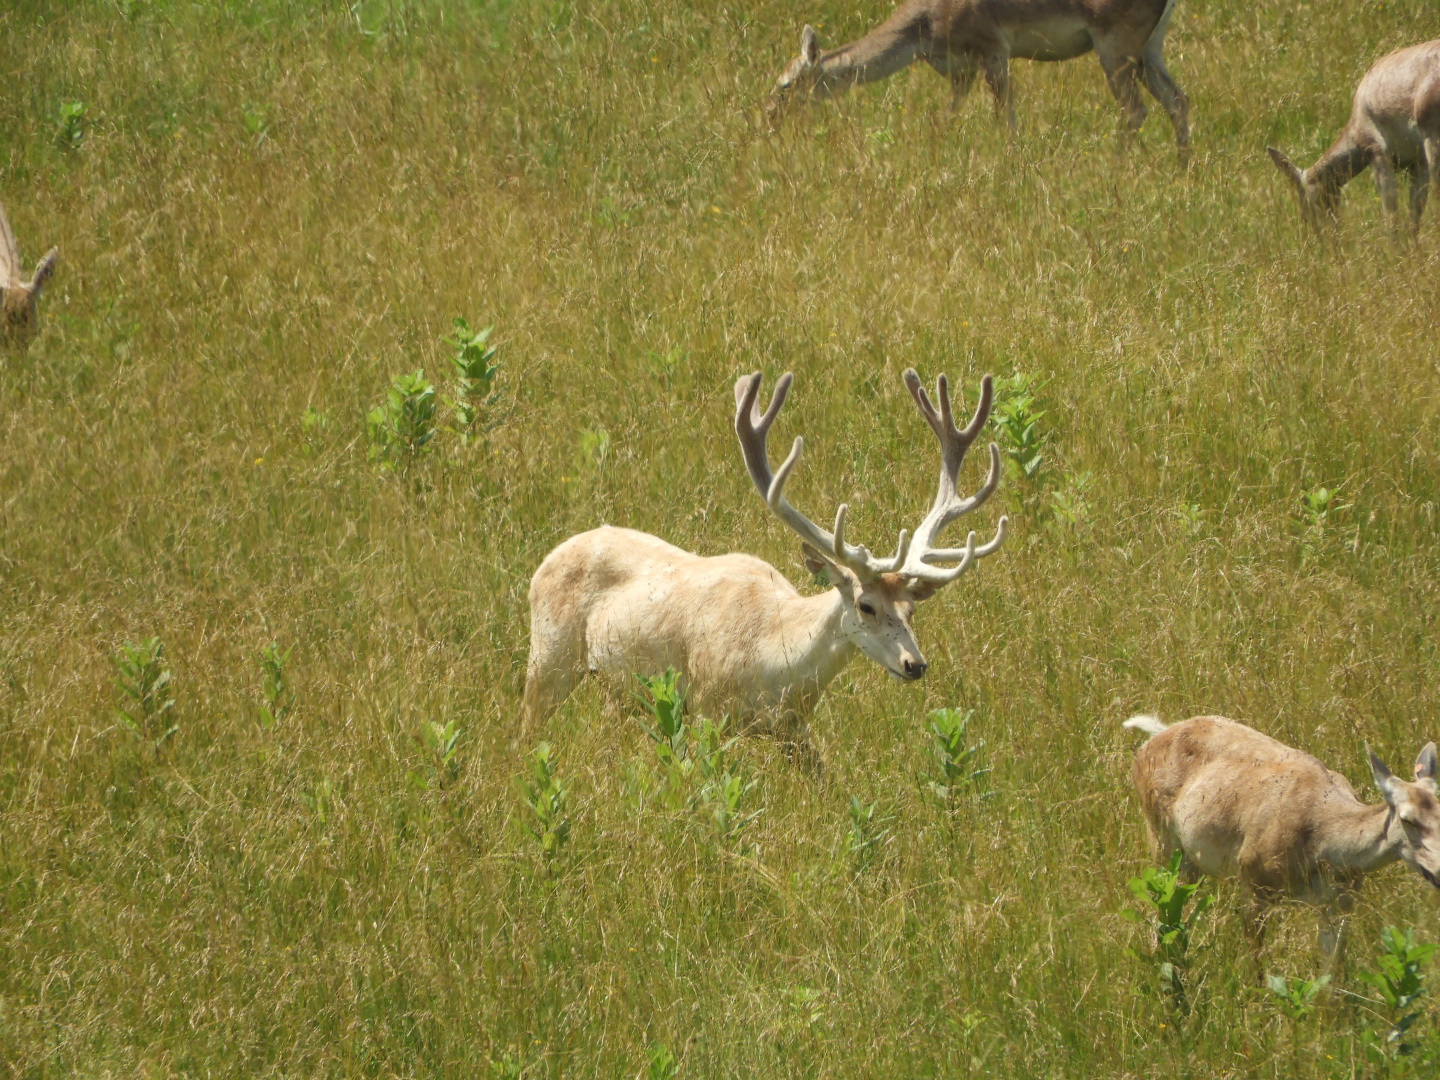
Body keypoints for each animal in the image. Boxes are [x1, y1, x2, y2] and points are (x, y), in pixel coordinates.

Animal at [522, 368, 1008, 773]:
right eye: (866, 606)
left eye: (911, 608)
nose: (915, 664)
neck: (772, 661)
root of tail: (548, 557)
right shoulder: (707, 707)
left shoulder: (795, 729)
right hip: (548, 657)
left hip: (615, 685)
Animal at [770, 0, 1190, 163]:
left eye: (785, 84)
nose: (770, 116)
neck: (923, 31)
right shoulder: (960, 71)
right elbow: (943, 120)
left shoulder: (994, 50)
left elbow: (1006, 120)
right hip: (1148, 48)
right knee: (1177, 99)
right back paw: (1183, 170)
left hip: (1115, 46)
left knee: (1135, 109)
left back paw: (1117, 167)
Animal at [1124, 714, 1440, 967]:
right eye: (1407, 819)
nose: (1438, 869)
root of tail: (1151, 740)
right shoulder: (1252, 879)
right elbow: (1256, 964)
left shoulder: (1340, 902)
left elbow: (1331, 974)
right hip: (1163, 843)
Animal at [1267, 39, 1440, 232]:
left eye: (1303, 201)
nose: (1322, 234)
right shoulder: (1417, 162)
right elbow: (1413, 218)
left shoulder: (1378, 154)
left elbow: (1391, 216)